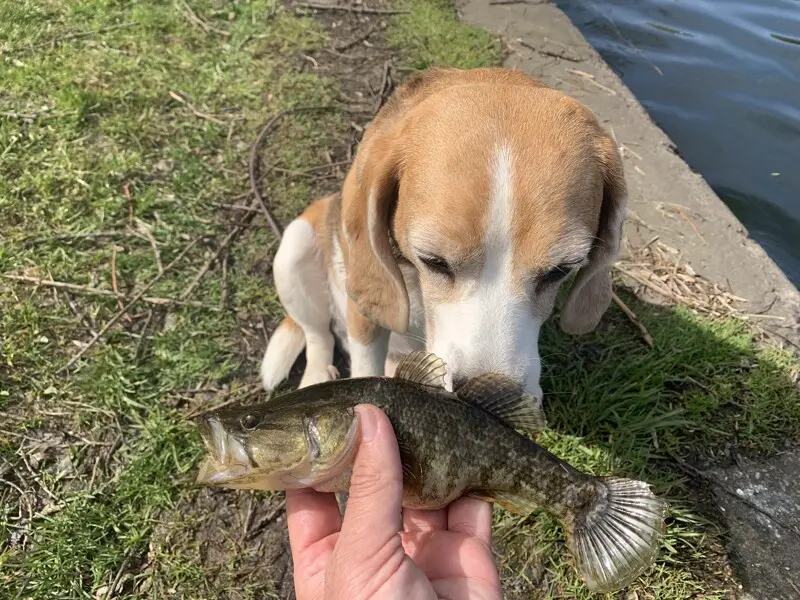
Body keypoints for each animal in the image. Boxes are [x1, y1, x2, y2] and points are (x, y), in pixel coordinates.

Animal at [260, 67, 628, 404]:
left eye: (560, 271)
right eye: (434, 261)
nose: (487, 396)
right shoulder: (366, 309)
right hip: (294, 245)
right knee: (318, 336)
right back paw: (315, 378)